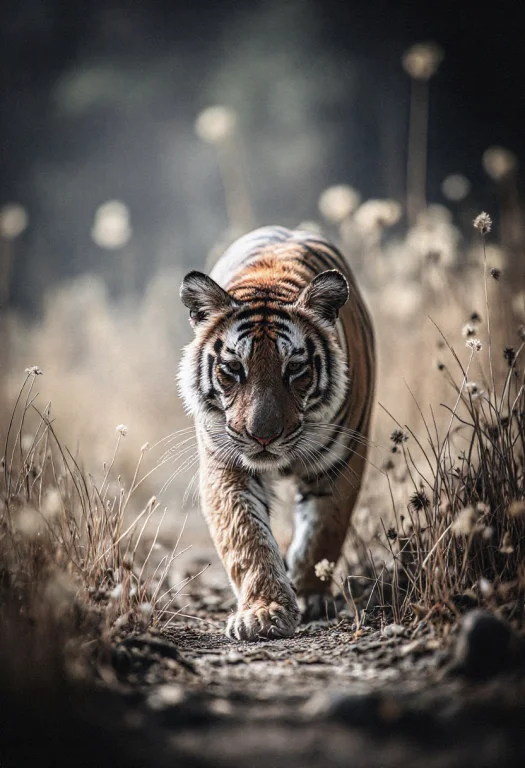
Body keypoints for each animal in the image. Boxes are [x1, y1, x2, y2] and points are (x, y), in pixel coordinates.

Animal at [178, 225, 375, 641]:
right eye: (233, 369)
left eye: (295, 369)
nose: (263, 437)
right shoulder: (227, 466)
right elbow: (247, 539)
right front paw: (265, 612)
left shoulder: (341, 462)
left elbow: (323, 532)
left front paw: (310, 594)